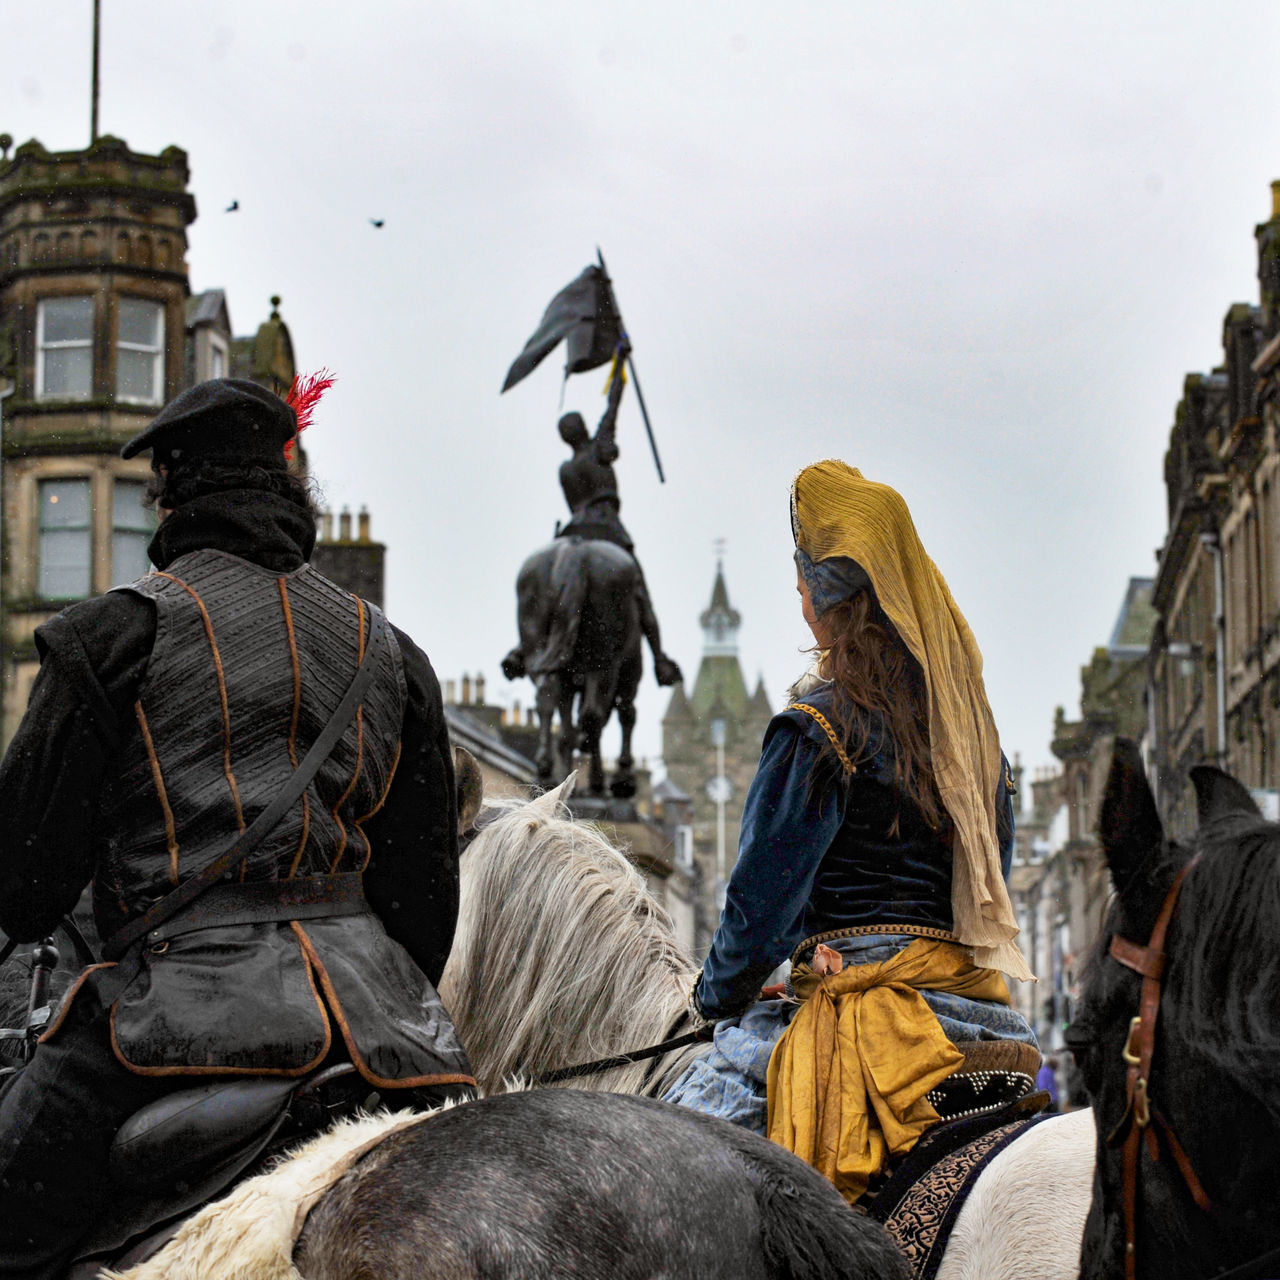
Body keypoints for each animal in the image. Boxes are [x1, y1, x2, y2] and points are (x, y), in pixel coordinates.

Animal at [499, 537, 640, 793]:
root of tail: (577, 547)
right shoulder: (630, 670)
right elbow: (625, 713)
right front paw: (621, 778)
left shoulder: (568, 677)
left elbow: (566, 728)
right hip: (604, 659)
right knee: (593, 715)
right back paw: (598, 780)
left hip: (539, 643)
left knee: (545, 698)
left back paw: (545, 771)